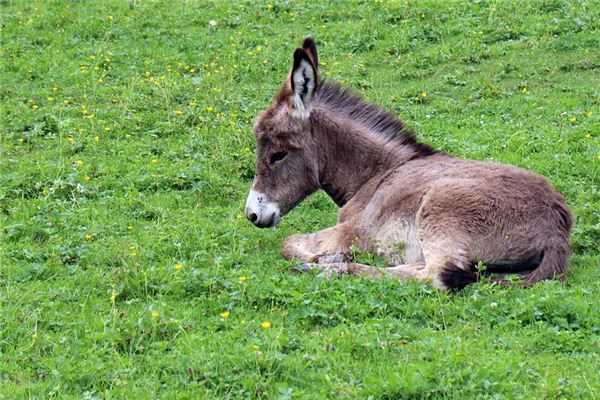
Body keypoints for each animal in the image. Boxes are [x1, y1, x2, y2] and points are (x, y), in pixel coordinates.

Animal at [244, 38, 572, 290]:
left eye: (278, 154)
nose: (252, 214)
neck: (375, 175)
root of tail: (557, 227)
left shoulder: (354, 229)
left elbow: (288, 243)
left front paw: (325, 260)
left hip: (440, 213)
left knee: (434, 276)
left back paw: (332, 269)